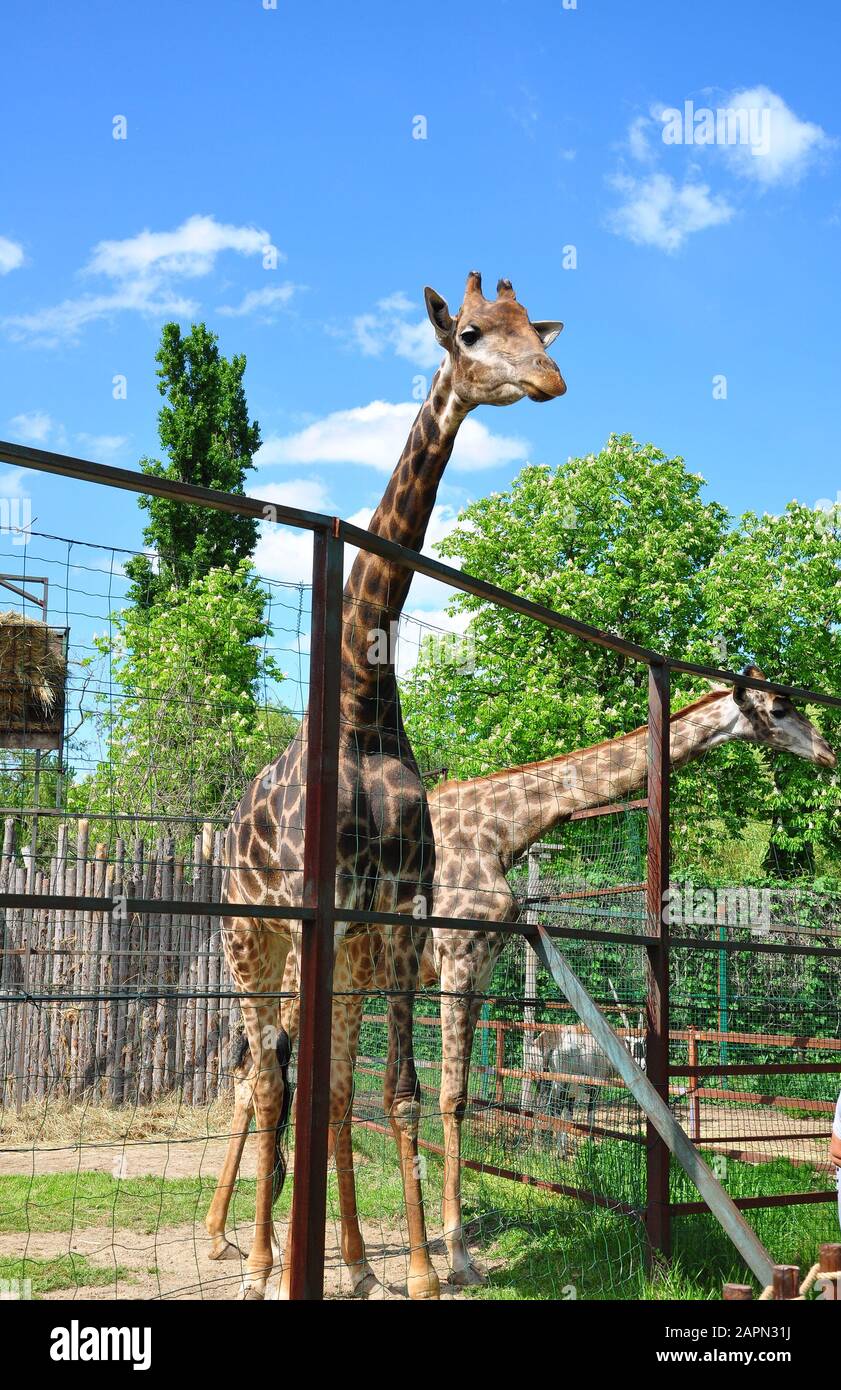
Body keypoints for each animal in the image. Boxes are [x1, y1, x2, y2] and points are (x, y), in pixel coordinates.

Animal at [204, 672, 834, 1289]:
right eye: (780, 709)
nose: (826, 751)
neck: (502, 830)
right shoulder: (459, 958)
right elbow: (454, 1096)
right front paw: (457, 1257)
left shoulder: (481, 966)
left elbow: (456, 1093)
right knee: (256, 1076)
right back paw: (241, 1243)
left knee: (277, 1078)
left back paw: (247, 1241)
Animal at [211, 273, 564, 1301]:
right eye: (472, 333)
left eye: (540, 329)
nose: (549, 379)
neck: (360, 705)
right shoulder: (315, 908)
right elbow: (299, 1085)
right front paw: (294, 1264)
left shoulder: (400, 910)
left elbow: (396, 1093)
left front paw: (413, 1270)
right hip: (251, 938)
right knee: (267, 1077)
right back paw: (257, 1260)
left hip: (336, 950)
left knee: (314, 1082)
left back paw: (351, 1259)